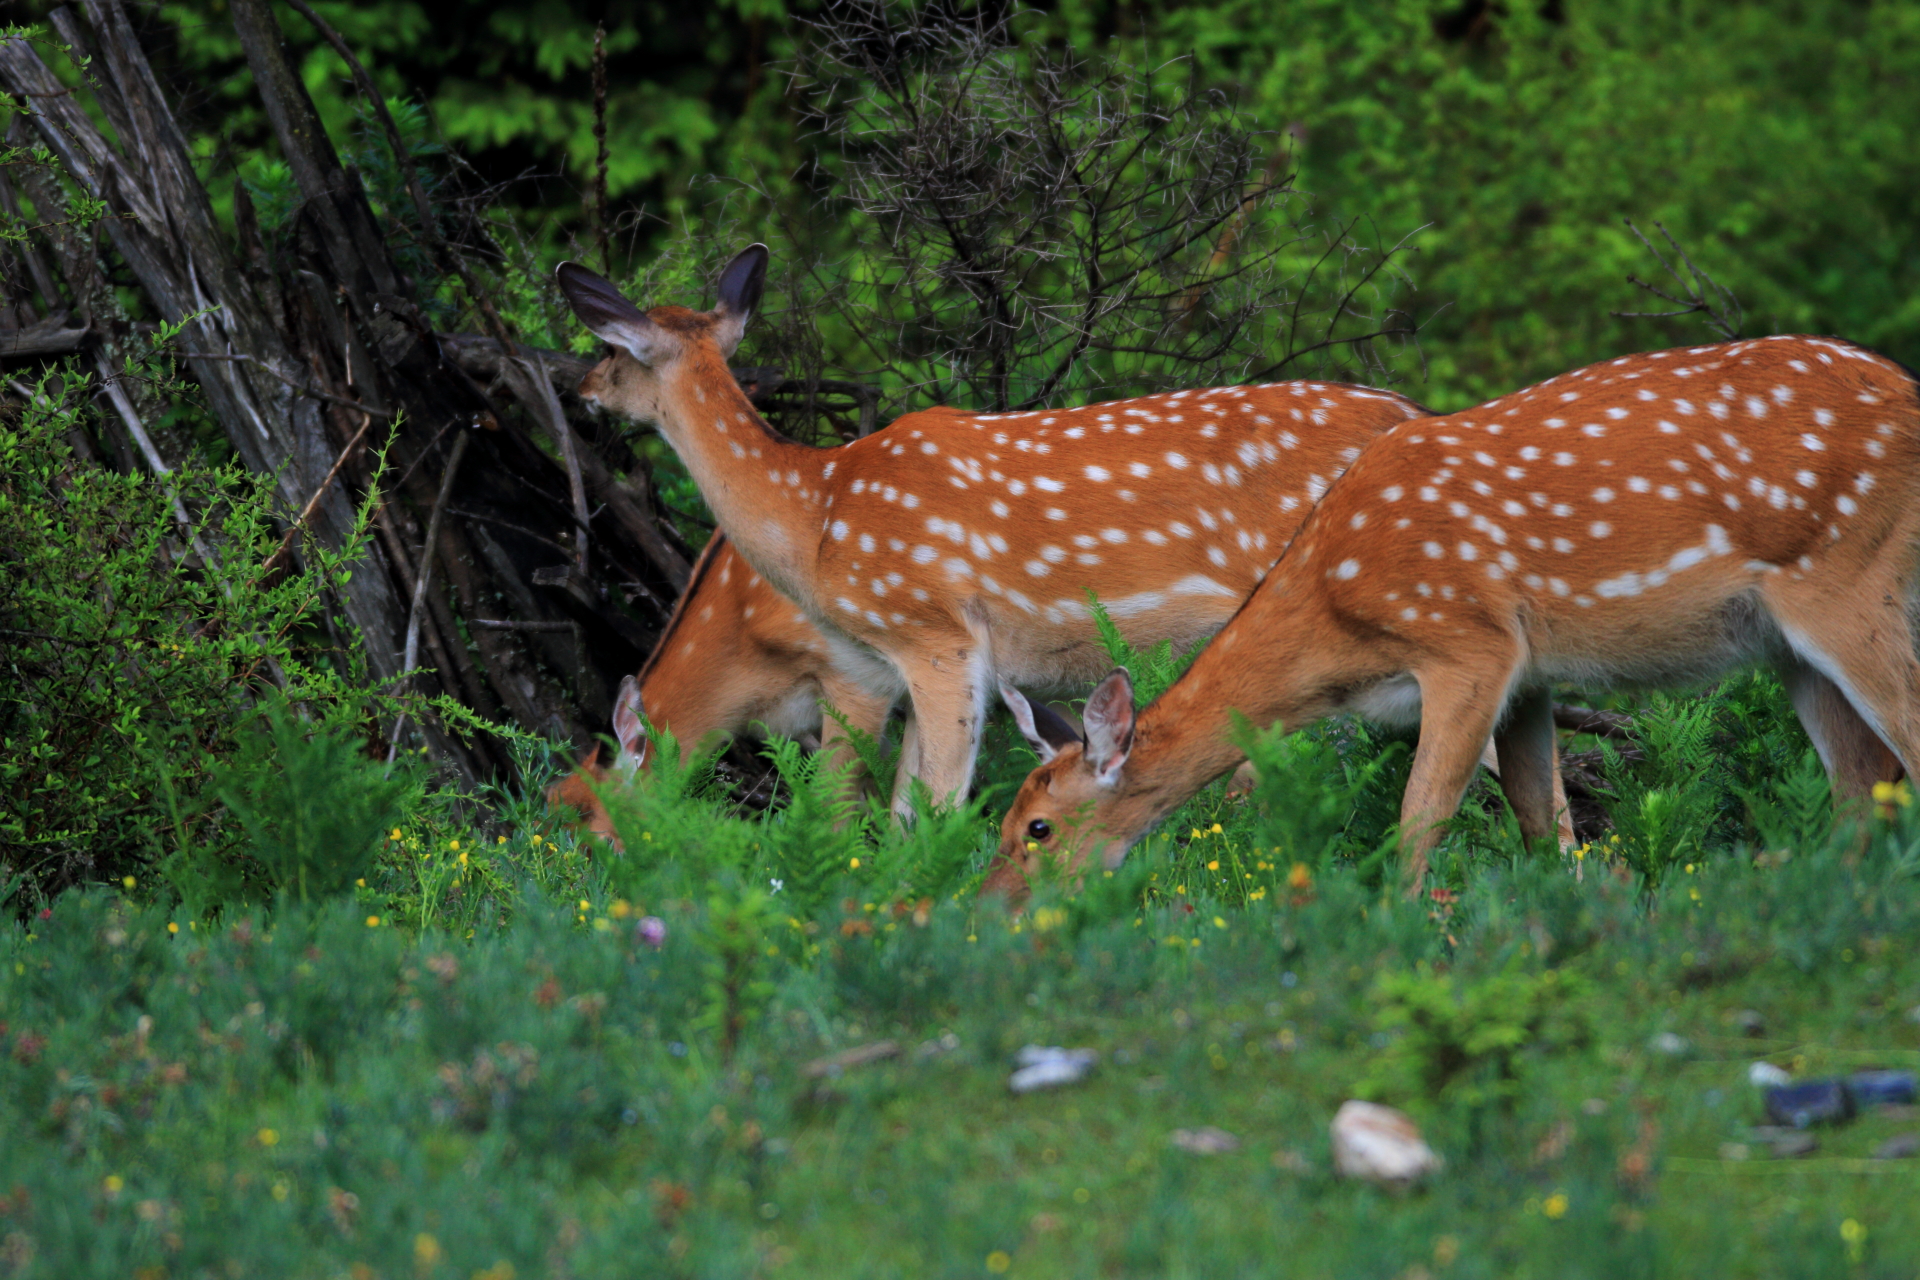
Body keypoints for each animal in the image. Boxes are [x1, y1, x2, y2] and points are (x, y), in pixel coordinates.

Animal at [998, 335, 1912, 898]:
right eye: (1008, 821)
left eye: (1038, 829)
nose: (995, 910)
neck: (1338, 623)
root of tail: (1908, 392)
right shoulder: (1532, 677)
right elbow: (1547, 824)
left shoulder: (1470, 645)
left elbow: (1419, 818)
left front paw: (1399, 925)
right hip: (1789, 645)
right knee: (1859, 783)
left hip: (1854, 582)